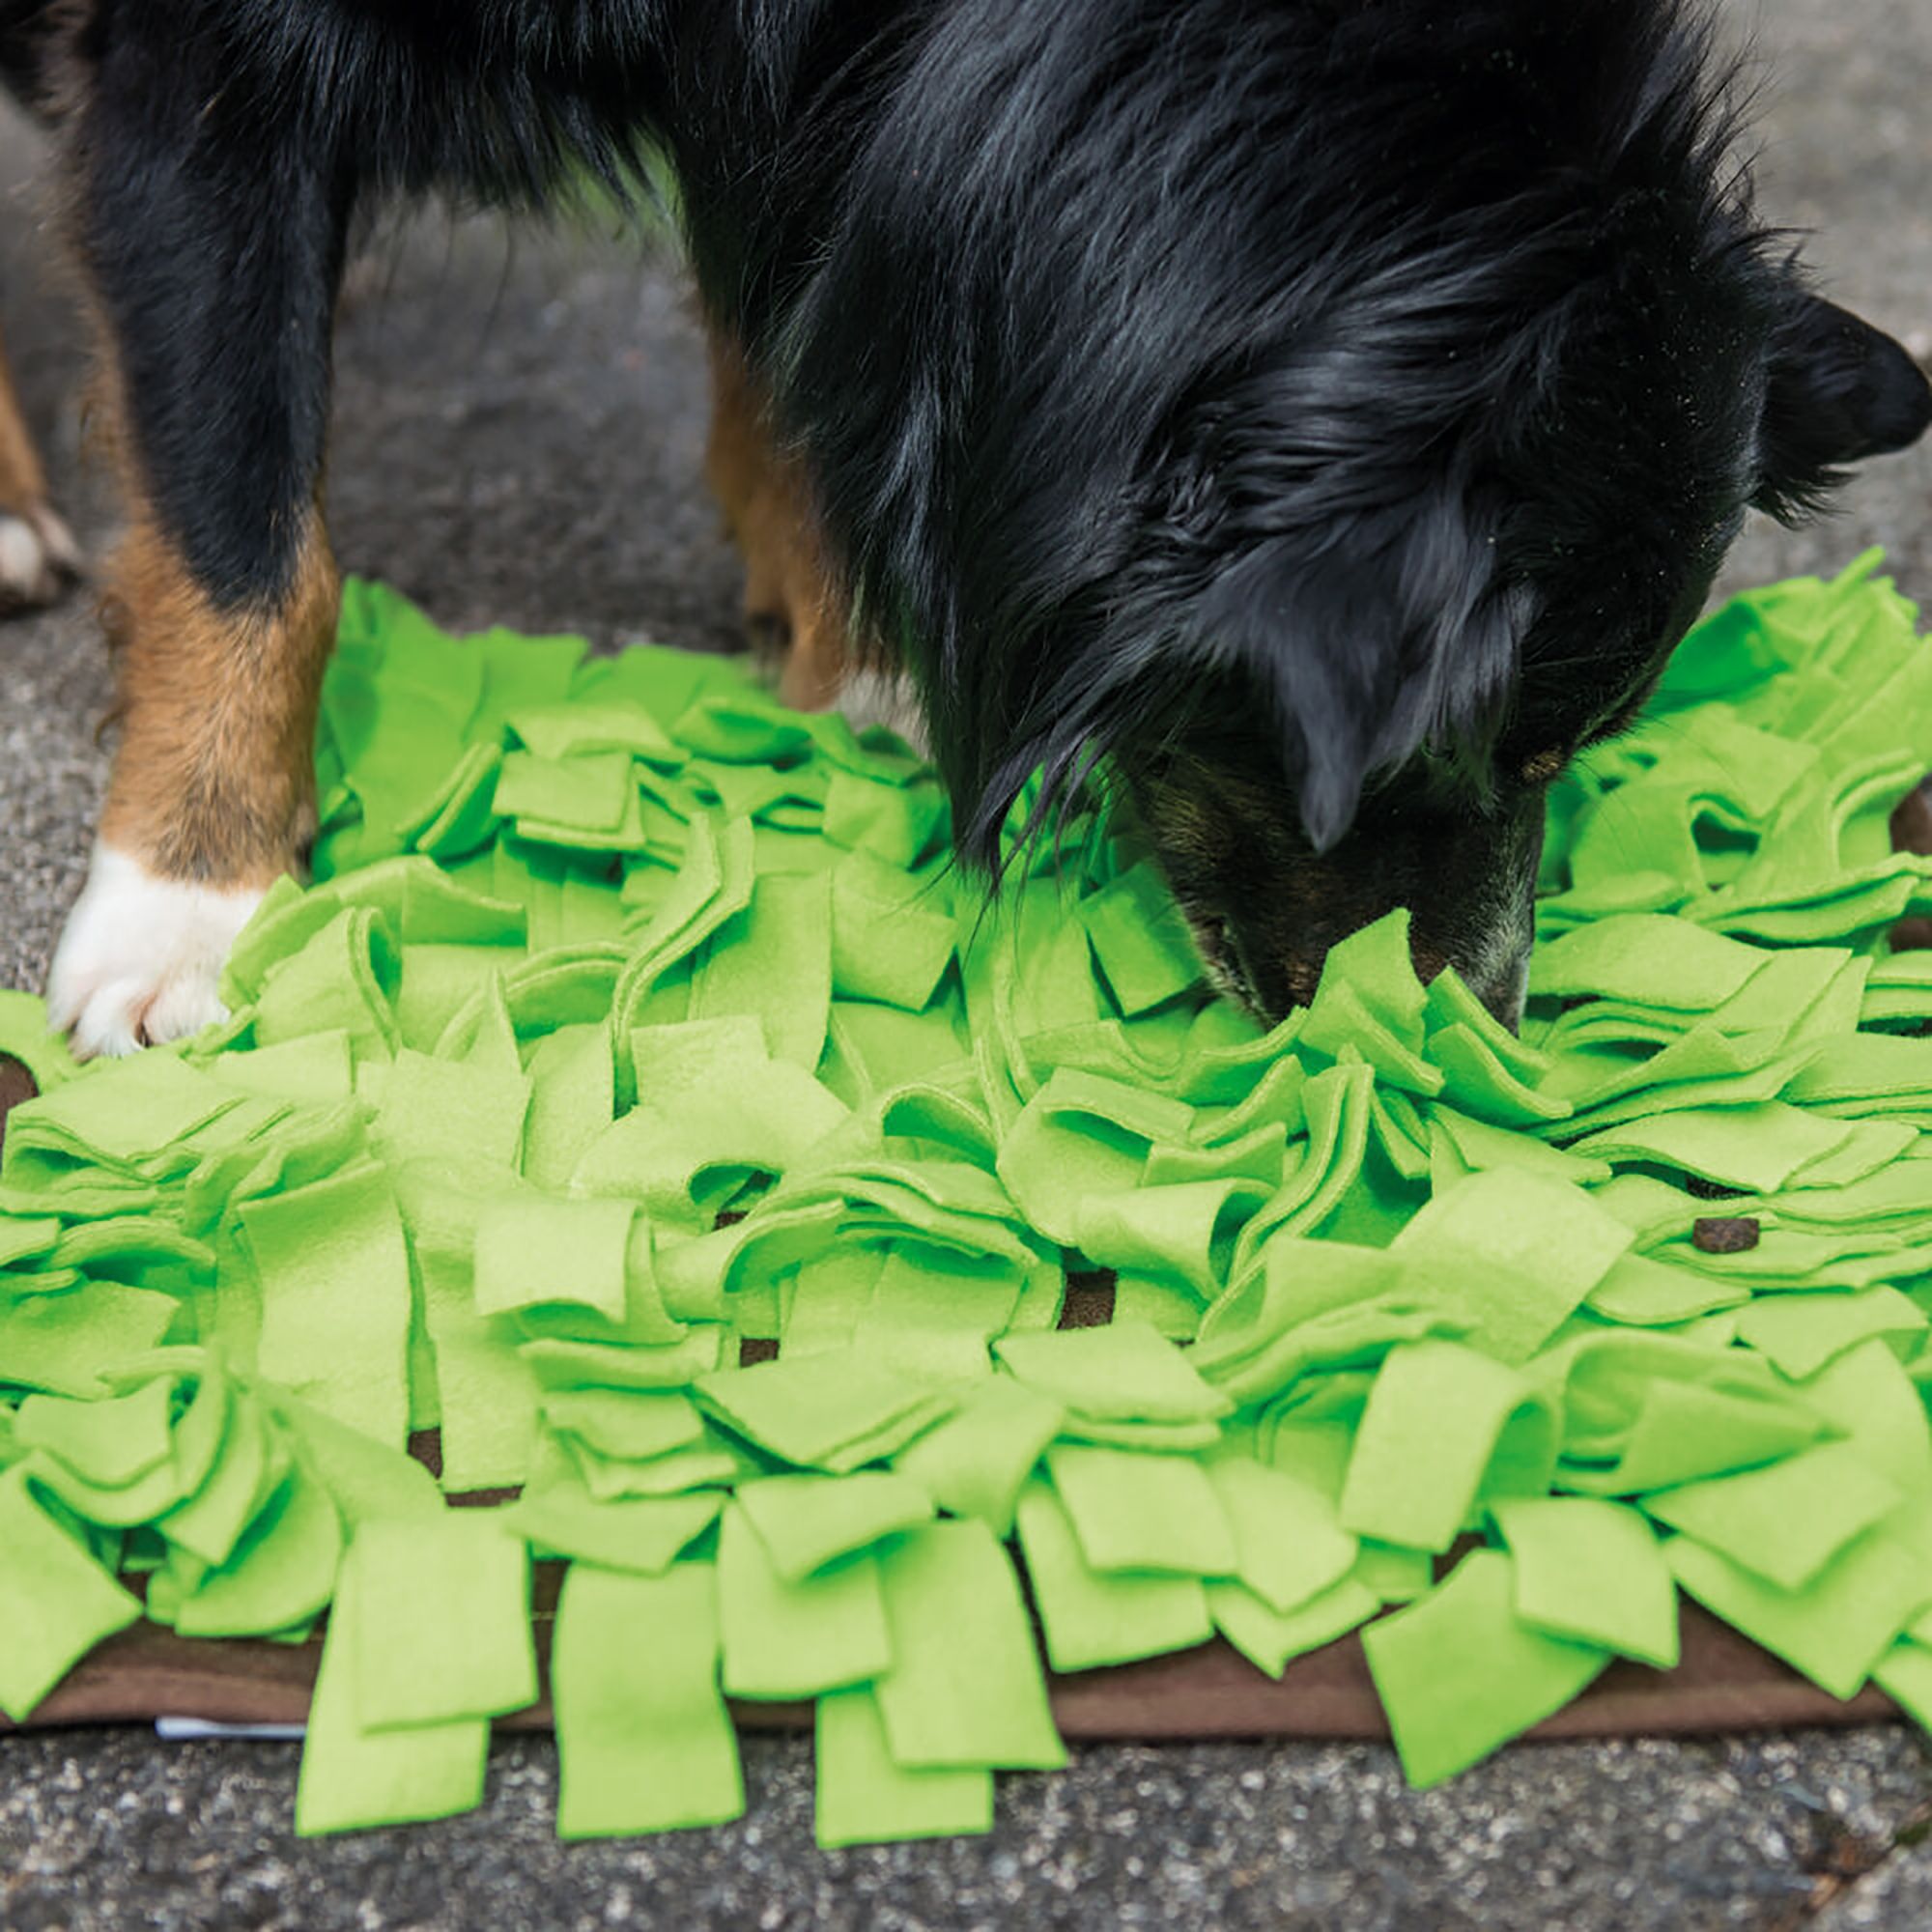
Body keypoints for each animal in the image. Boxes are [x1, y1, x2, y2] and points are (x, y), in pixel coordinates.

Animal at [7, 0, 1924, 1059]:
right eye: (1463, 751)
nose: (1477, 1037)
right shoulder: (198, 71)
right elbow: (246, 522)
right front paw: (187, 902)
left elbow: (799, 313)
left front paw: (848, 646)